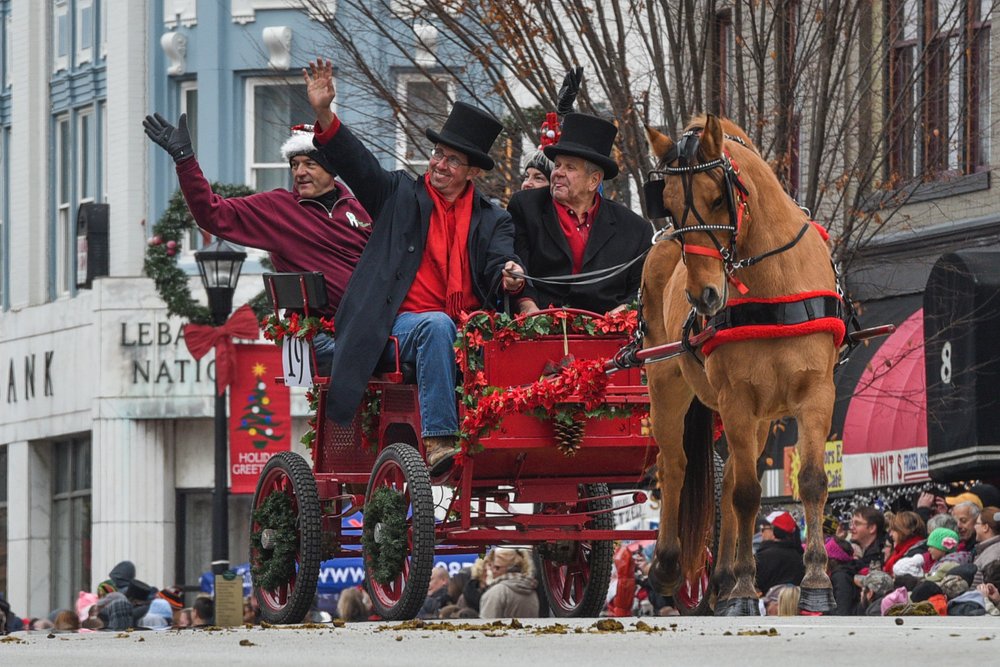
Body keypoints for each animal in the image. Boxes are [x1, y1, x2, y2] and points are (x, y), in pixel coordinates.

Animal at [640, 113, 844, 616]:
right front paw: (746, 589)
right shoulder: (736, 398)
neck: (773, 284)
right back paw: (672, 566)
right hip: (666, 384)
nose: (704, 297)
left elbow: (810, 481)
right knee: (676, 464)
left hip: (759, 416)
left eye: (719, 197)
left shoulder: (816, 393)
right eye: (669, 206)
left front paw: (816, 582)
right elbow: (748, 493)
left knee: (729, 473)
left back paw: (722, 578)